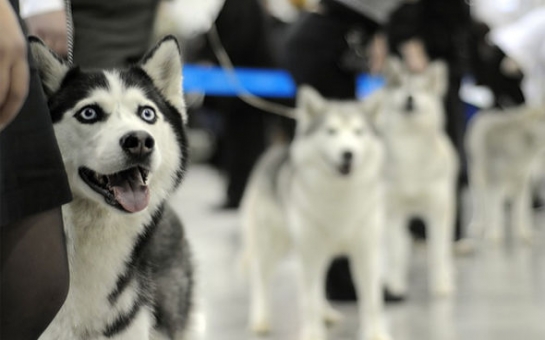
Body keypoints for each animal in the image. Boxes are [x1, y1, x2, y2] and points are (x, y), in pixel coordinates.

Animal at [242, 85, 392, 340]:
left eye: (359, 132)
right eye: (331, 131)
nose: (348, 153)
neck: (340, 197)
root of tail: (275, 150)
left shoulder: (366, 252)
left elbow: (372, 301)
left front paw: (375, 334)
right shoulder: (310, 251)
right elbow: (308, 301)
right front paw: (312, 333)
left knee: (319, 286)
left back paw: (327, 313)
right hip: (274, 244)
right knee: (262, 279)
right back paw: (261, 319)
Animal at [366, 59, 460, 298]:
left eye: (421, 89)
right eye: (400, 85)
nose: (409, 97)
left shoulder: (437, 211)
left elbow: (437, 253)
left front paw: (440, 286)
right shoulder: (394, 213)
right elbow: (395, 254)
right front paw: (395, 286)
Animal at [466, 103, 544, 242]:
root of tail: (484, 113)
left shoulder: (522, 182)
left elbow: (520, 211)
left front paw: (523, 234)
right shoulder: (494, 182)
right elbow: (494, 209)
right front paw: (494, 235)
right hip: (477, 179)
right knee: (480, 204)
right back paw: (479, 225)